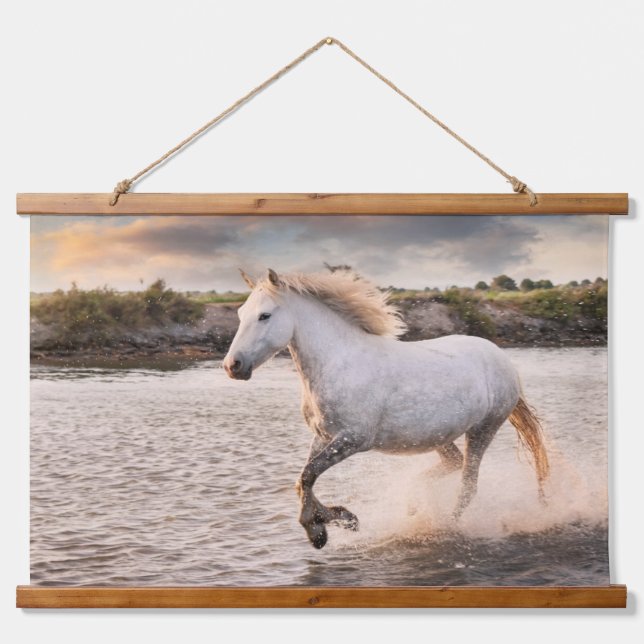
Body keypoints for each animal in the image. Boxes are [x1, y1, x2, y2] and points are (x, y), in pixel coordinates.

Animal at [223, 268, 549, 549]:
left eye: (264, 315)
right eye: (240, 314)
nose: (232, 366)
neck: (339, 363)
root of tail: (503, 359)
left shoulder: (354, 439)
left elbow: (307, 475)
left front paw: (321, 529)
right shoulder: (323, 436)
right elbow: (303, 479)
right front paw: (339, 519)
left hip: (483, 429)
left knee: (468, 485)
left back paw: (443, 526)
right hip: (436, 436)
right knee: (453, 465)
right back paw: (414, 505)